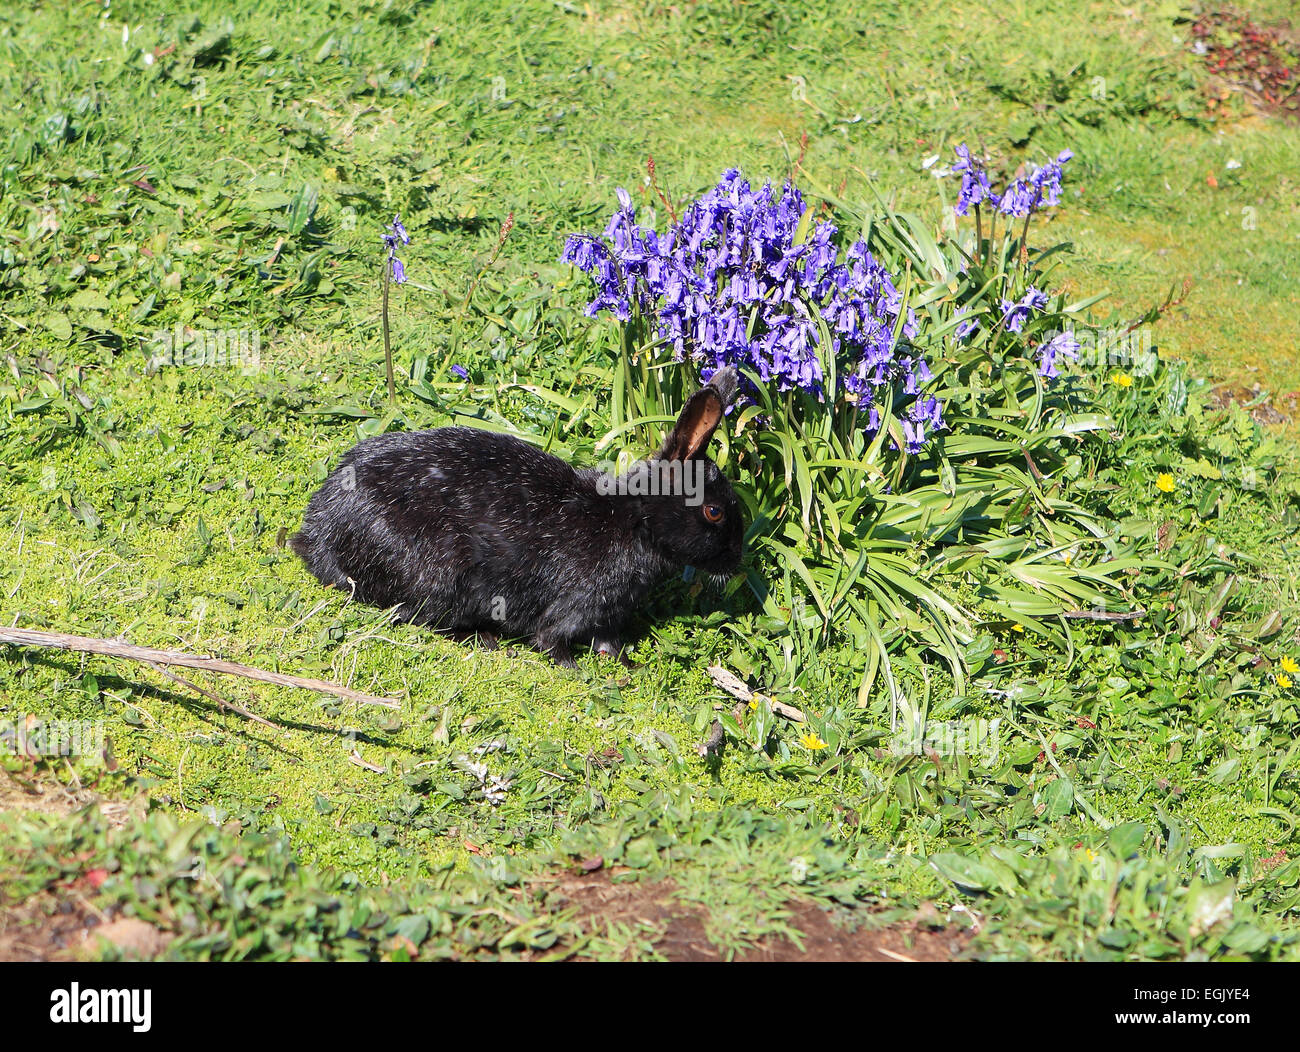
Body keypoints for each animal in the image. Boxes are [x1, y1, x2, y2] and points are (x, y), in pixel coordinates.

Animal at [291, 369, 748, 665]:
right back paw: (483, 637)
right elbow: (552, 638)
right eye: (713, 511)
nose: (737, 562)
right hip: (436, 573)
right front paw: (570, 665)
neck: (633, 521)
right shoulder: (578, 601)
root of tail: (319, 531)